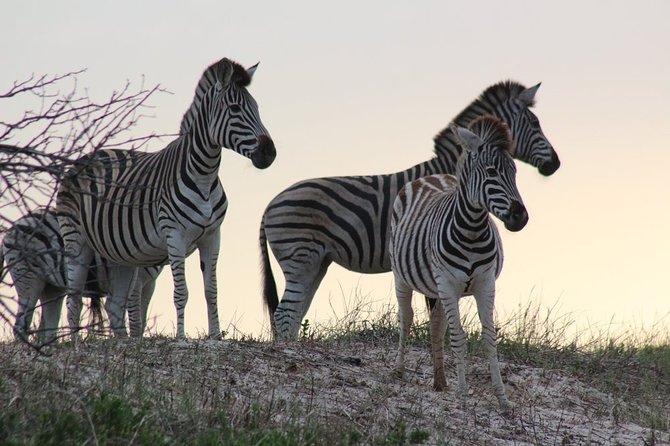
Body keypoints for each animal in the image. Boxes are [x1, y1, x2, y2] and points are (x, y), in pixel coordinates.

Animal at [0, 209, 161, 342]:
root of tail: (10, 229)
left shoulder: (149, 284)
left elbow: (141, 318)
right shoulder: (137, 282)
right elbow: (135, 318)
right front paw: (135, 340)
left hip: (50, 286)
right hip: (28, 277)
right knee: (21, 323)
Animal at [56, 57, 276, 340]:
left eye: (257, 108)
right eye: (235, 108)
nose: (269, 152)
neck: (204, 175)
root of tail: (82, 160)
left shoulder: (212, 236)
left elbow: (211, 291)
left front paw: (216, 336)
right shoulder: (175, 236)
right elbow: (181, 293)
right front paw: (181, 338)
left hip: (118, 253)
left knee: (114, 303)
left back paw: (124, 344)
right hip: (76, 240)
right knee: (73, 298)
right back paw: (74, 343)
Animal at [260, 80, 560, 340]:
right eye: (535, 123)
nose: (555, 164)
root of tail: (269, 205)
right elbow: (436, 308)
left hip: (317, 262)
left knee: (294, 313)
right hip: (300, 257)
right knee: (285, 314)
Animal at [392, 116, 528, 412]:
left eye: (514, 172)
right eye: (491, 171)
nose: (520, 218)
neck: (472, 230)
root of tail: (431, 176)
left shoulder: (485, 284)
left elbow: (489, 339)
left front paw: (502, 398)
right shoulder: (448, 284)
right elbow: (458, 338)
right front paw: (463, 396)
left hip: (438, 288)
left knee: (436, 324)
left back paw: (440, 380)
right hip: (402, 277)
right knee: (406, 317)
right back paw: (398, 370)